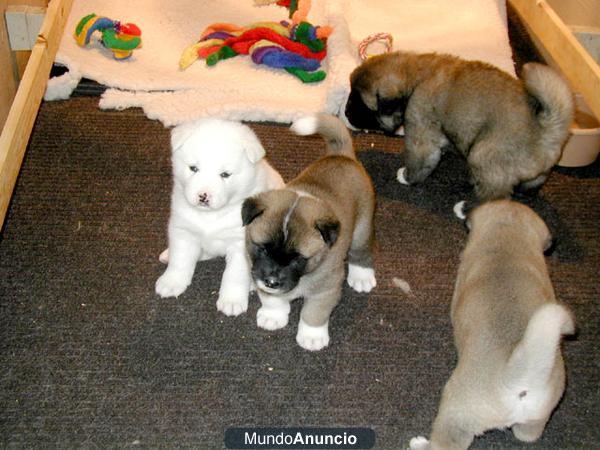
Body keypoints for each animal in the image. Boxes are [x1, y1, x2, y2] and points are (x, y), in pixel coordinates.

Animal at [156, 119, 284, 316]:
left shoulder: (240, 244)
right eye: (193, 168)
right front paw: (172, 282)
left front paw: (232, 300)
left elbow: (234, 274)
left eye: (225, 174)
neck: (212, 216)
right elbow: (180, 260)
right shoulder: (183, 230)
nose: (203, 196)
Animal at [239, 113, 376, 352]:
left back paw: (362, 276)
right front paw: (274, 315)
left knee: (361, 251)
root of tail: (342, 155)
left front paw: (312, 336)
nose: (271, 281)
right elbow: (272, 300)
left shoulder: (326, 289)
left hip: (363, 227)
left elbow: (314, 313)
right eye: (263, 249)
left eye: (297, 258)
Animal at [344, 50, 576, 202]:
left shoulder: (421, 132)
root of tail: (546, 131)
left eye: (358, 103)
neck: (416, 76)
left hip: (484, 155)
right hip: (536, 172)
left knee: (494, 196)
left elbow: (419, 161)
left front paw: (407, 177)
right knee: (532, 184)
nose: (345, 113)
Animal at [410, 201, 576, 450]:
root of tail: (517, 381)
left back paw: (419, 443)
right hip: (536, 419)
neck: (508, 241)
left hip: (455, 414)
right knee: (527, 435)